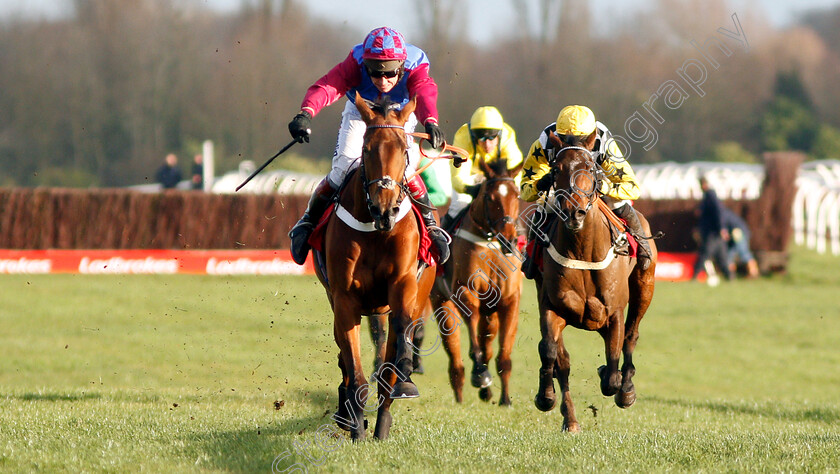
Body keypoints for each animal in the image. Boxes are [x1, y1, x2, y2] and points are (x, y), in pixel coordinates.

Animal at [312, 92, 436, 440]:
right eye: (367, 149)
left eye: (405, 148)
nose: (386, 209)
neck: (375, 230)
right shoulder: (344, 298)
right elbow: (353, 369)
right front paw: (354, 425)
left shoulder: (403, 285)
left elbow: (399, 341)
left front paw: (403, 380)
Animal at [434, 157, 524, 406]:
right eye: (489, 197)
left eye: (517, 195)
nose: (509, 240)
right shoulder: (465, 291)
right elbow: (474, 342)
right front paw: (480, 374)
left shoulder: (509, 300)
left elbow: (503, 355)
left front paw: (505, 400)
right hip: (442, 303)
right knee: (455, 355)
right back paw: (460, 396)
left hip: (490, 314)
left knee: (488, 343)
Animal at [532, 139, 656, 432]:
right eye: (556, 169)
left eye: (590, 167)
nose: (573, 212)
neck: (583, 250)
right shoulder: (552, 308)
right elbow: (551, 352)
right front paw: (545, 396)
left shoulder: (614, 313)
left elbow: (611, 373)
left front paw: (616, 381)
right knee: (561, 360)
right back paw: (571, 420)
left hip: (644, 287)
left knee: (631, 336)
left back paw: (626, 389)